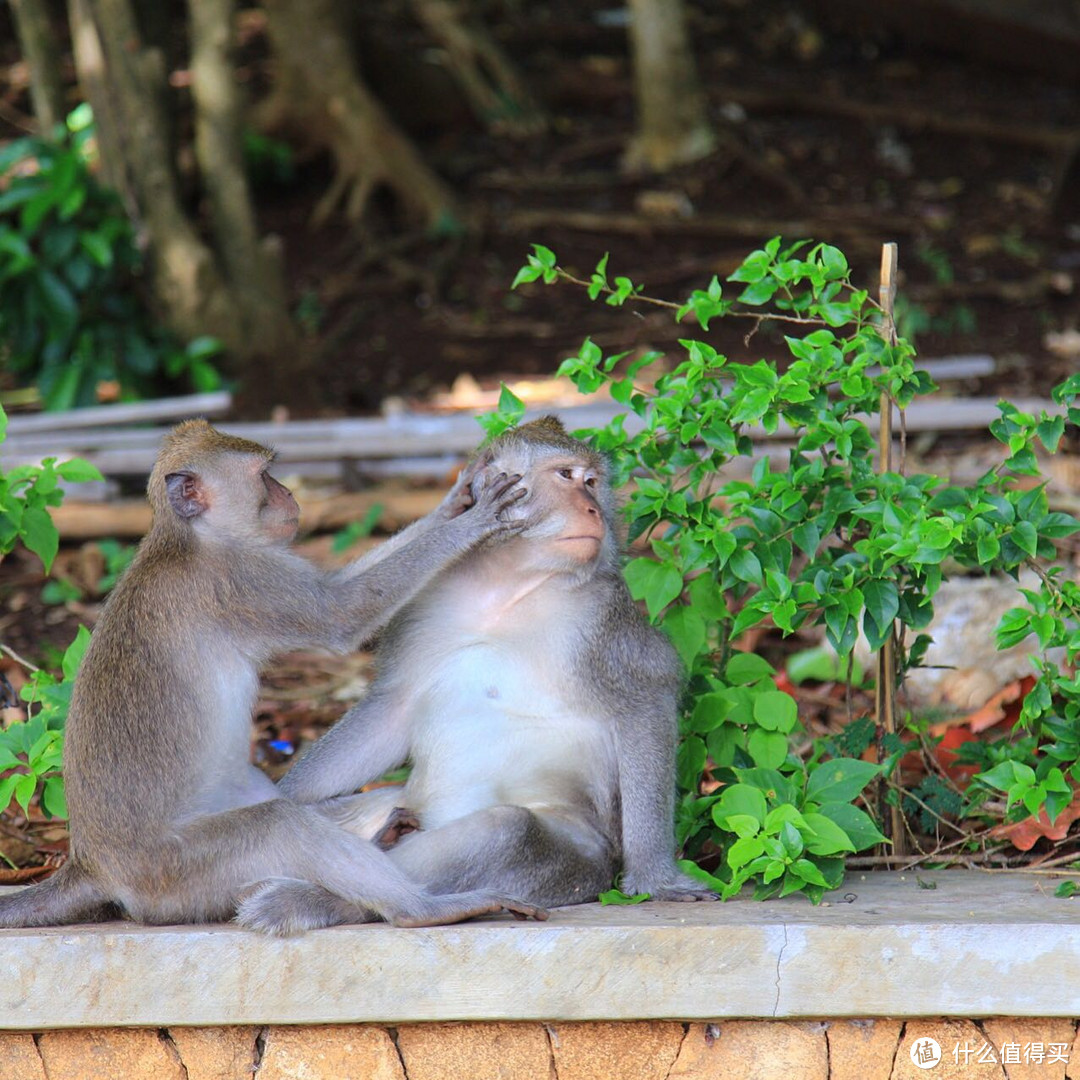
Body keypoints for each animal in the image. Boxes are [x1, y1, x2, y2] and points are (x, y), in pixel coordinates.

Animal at [0, 416, 544, 933]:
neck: (189, 538)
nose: (289, 494)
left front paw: (453, 502)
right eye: (264, 475)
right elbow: (344, 613)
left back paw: (386, 835)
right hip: (177, 876)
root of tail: (90, 864)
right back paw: (421, 909)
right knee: (279, 823)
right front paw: (471, 521)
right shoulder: (246, 579)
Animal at [282, 416, 712, 907]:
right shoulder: (420, 608)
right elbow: (393, 705)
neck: (504, 583)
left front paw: (656, 879)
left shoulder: (602, 618)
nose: (594, 511)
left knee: (509, 831)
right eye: (566, 476)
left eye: (591, 482)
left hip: (581, 860)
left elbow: (646, 698)